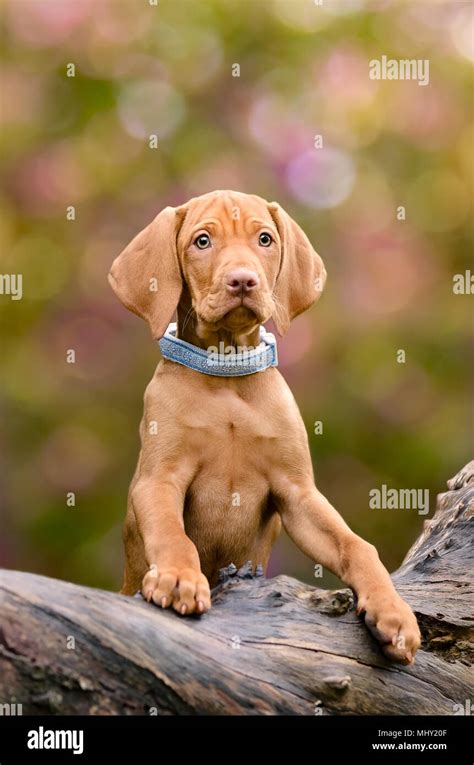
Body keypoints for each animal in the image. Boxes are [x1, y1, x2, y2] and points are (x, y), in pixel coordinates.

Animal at [109, 188, 420, 660]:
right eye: (202, 241)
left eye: (265, 239)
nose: (243, 281)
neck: (227, 375)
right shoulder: (157, 480)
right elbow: (171, 533)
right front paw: (179, 577)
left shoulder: (298, 492)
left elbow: (356, 546)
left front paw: (393, 611)